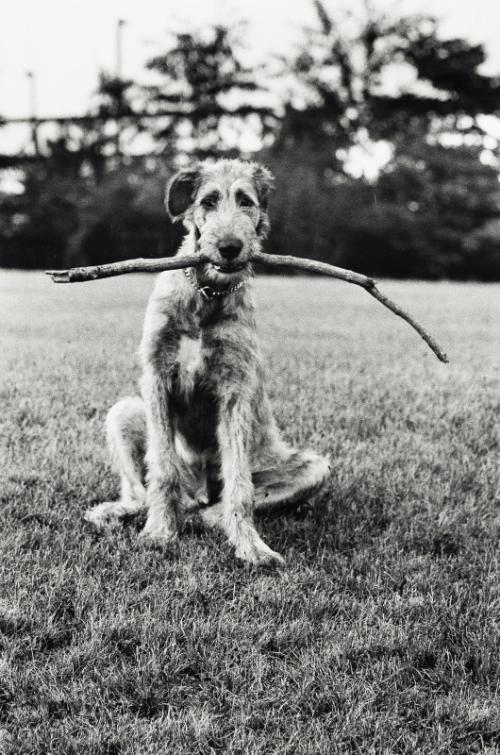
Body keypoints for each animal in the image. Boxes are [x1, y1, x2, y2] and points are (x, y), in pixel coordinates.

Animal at [84, 159, 330, 564]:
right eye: (208, 201)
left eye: (246, 201)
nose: (230, 247)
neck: (207, 294)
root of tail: (197, 490)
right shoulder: (157, 377)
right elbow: (161, 470)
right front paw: (159, 531)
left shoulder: (234, 389)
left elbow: (239, 485)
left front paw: (251, 546)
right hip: (125, 412)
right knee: (142, 490)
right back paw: (123, 511)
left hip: (312, 467)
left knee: (221, 503)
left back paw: (205, 516)